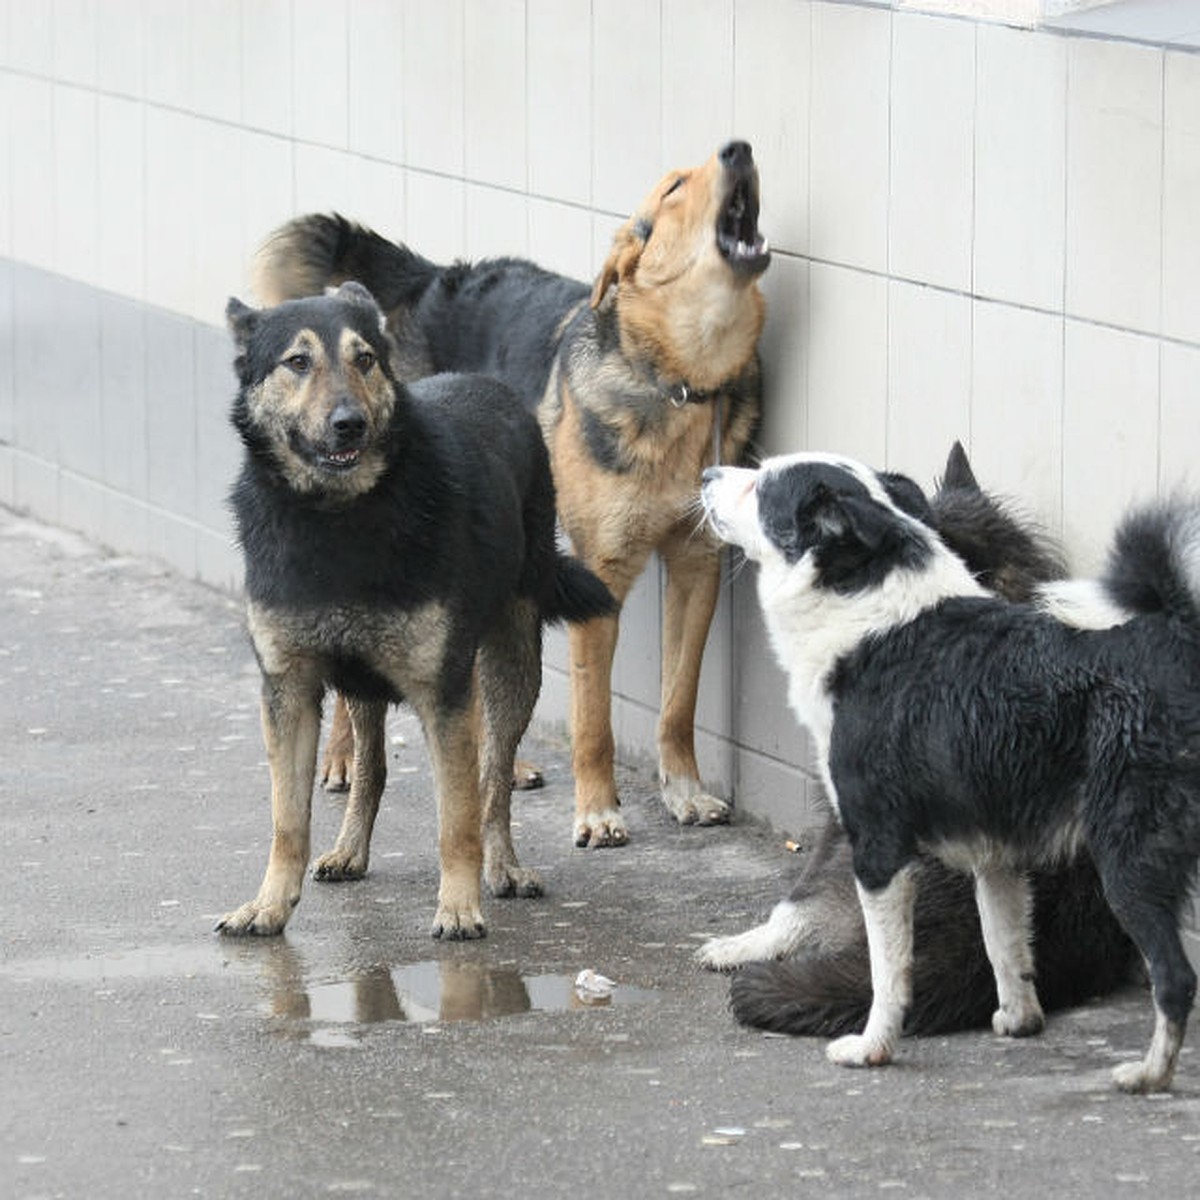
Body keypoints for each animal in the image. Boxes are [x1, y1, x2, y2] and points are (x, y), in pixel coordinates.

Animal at [216, 280, 614, 936]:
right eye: (297, 362)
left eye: (364, 359)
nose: (349, 425)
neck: (338, 518)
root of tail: (488, 384)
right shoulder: (289, 691)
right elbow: (287, 819)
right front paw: (270, 904)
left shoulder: (442, 693)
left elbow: (457, 815)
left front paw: (458, 905)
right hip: (363, 681)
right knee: (372, 767)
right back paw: (350, 849)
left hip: (510, 665)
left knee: (493, 778)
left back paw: (503, 867)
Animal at [700, 451, 1200, 1099]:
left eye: (760, 486)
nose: (706, 475)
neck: (868, 611)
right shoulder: (996, 856)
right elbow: (1005, 947)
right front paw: (1018, 1020)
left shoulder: (877, 850)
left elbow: (888, 971)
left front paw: (873, 1047)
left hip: (1128, 860)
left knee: (1175, 978)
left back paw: (1151, 1074)